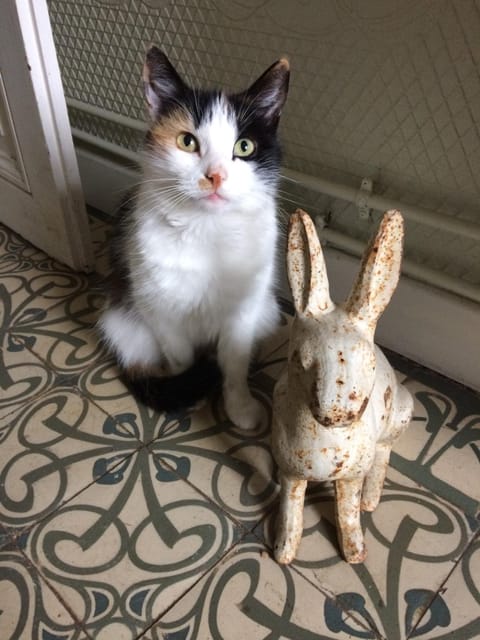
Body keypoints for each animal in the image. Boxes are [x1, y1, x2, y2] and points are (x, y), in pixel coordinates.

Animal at [98, 48, 288, 430]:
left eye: (245, 146)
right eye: (187, 141)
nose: (215, 176)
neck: (208, 231)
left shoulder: (243, 312)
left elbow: (234, 365)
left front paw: (241, 408)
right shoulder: (159, 310)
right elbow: (181, 358)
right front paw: (191, 390)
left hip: (268, 310)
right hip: (122, 324)